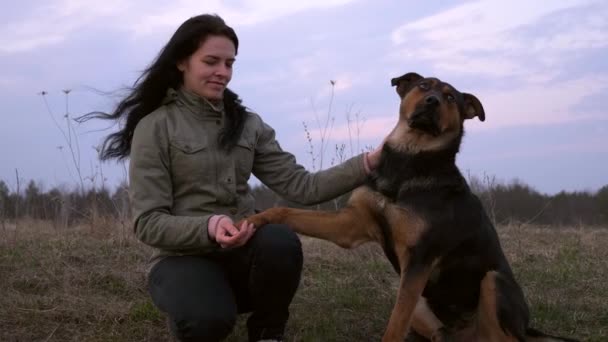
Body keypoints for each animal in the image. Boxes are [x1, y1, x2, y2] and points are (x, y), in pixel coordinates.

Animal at [242, 72, 580, 342]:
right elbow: (288, 213)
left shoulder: (419, 258)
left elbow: (394, 324)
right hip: (427, 310)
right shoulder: (352, 224)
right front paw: (254, 221)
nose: (432, 101)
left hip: (493, 284)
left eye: (450, 97)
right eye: (422, 86)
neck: (409, 159)